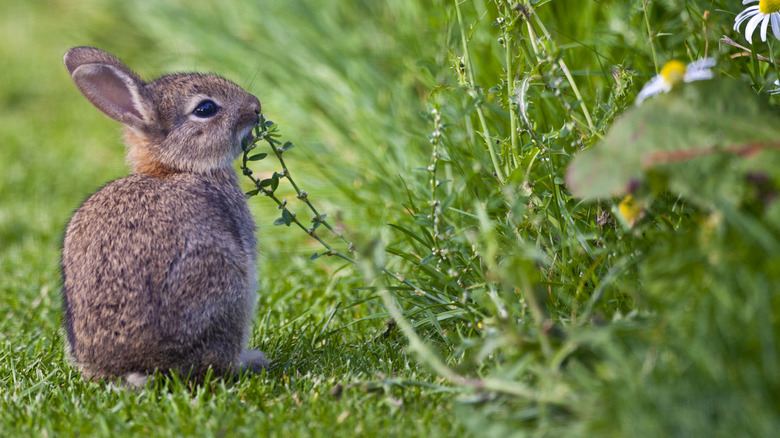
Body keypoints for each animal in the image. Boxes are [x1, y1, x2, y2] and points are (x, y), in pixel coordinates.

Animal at [60, 46, 268, 384]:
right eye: (206, 108)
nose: (256, 107)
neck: (176, 168)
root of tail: (140, 367)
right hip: (223, 286)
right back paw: (251, 360)